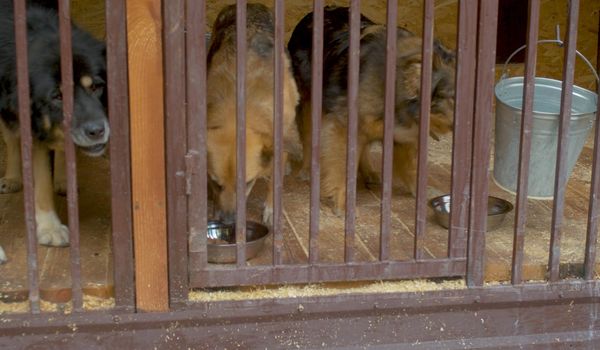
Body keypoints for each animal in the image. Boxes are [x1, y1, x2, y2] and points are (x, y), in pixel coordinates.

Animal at [0, 0, 109, 262]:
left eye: (97, 87)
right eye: (57, 97)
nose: (97, 131)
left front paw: (49, 225)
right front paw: (49, 227)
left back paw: (62, 179)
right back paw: (13, 177)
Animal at [206, 2, 300, 226]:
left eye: (247, 183)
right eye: (215, 183)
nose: (228, 222)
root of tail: (251, 5)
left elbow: (275, 178)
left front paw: (272, 209)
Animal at [288, 6, 454, 215]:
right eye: (452, 97)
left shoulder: (404, 134)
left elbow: (411, 167)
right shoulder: (341, 125)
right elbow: (343, 167)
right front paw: (342, 205)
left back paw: (368, 171)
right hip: (309, 101)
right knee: (309, 137)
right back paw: (307, 170)